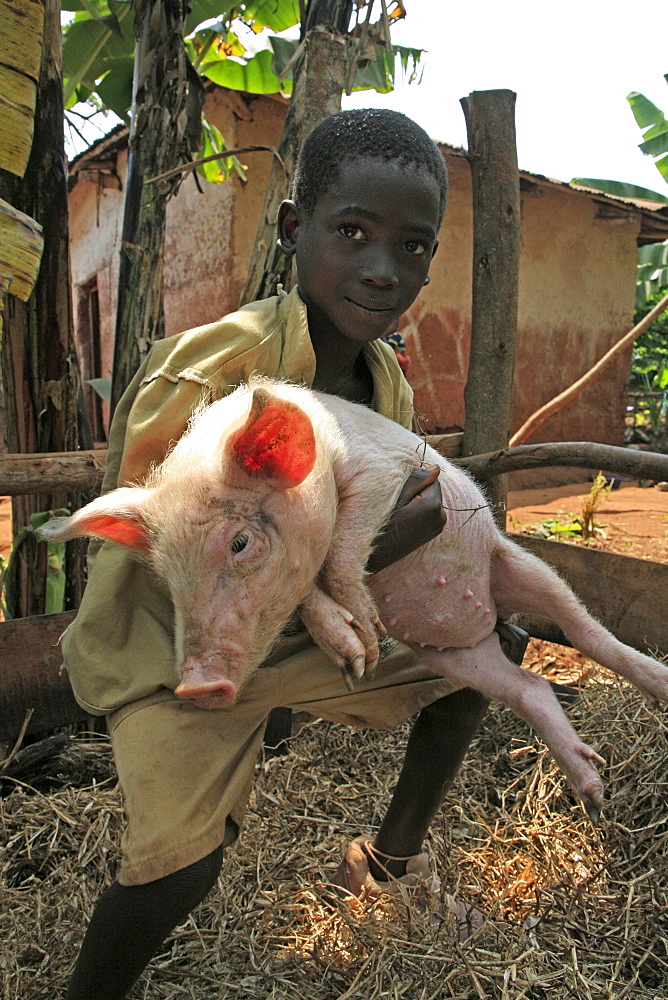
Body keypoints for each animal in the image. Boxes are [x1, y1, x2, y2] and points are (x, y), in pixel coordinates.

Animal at [43, 378, 668, 824]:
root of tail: (480, 618)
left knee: (590, 635)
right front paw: (356, 656)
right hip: (454, 656)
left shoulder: (383, 473)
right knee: (528, 687)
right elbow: (309, 589)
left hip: (520, 564)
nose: (196, 687)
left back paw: (652, 693)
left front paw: (365, 631)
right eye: (165, 575)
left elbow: (344, 544)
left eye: (240, 542)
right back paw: (593, 794)